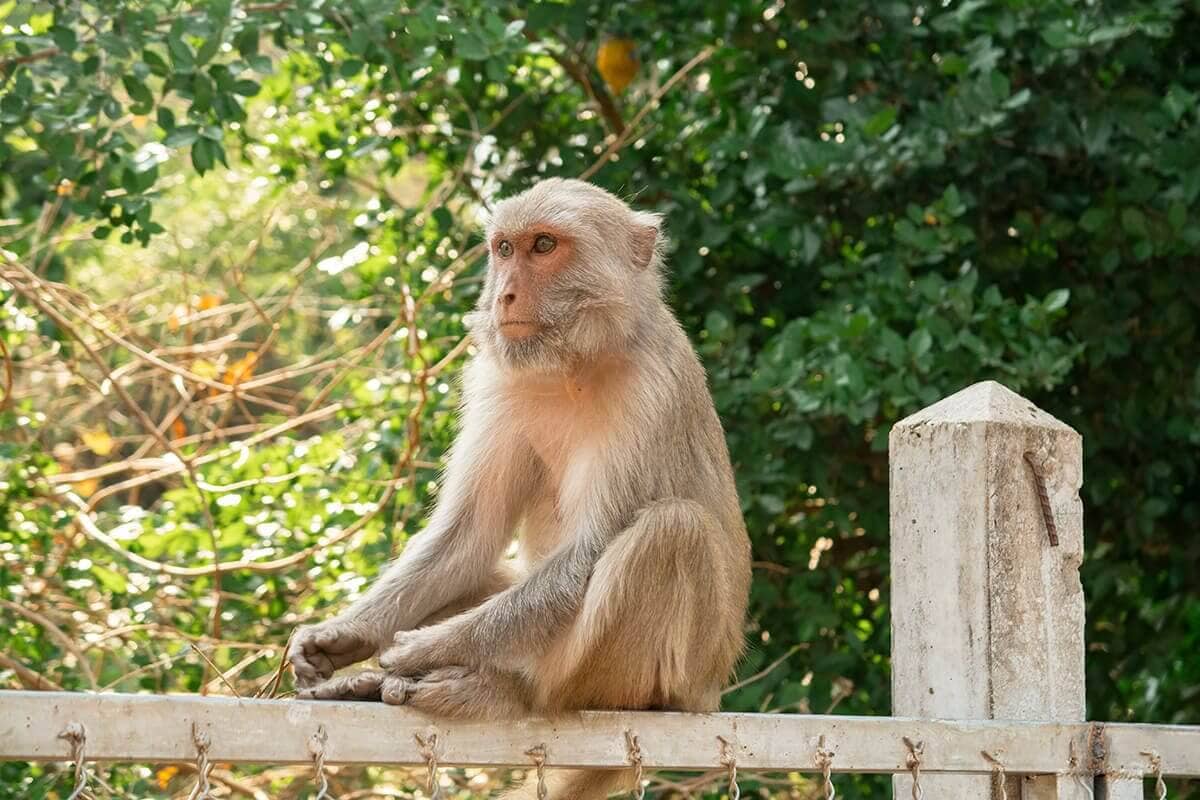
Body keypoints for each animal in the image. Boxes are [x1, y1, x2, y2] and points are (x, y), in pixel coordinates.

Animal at [289, 178, 751, 799]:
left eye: (545, 245)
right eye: (504, 248)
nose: (504, 295)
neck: (572, 363)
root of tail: (710, 692)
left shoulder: (649, 391)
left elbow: (586, 553)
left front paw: (422, 649)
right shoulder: (496, 378)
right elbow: (468, 537)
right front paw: (343, 636)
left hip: (672, 680)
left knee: (670, 530)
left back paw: (508, 692)